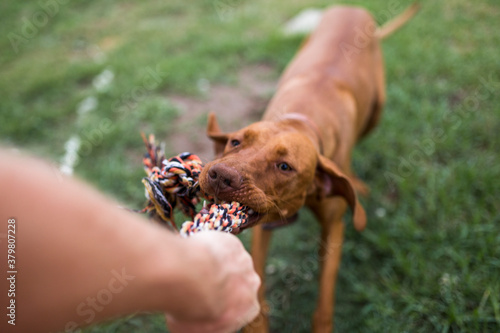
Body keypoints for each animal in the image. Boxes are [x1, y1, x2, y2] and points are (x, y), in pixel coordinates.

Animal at [199, 3, 418, 332]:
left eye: (285, 166)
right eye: (235, 142)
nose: (219, 176)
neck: (300, 118)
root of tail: (353, 8)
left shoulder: (334, 228)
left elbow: (325, 299)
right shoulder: (263, 224)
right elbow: (258, 277)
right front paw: (255, 322)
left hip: (376, 110)